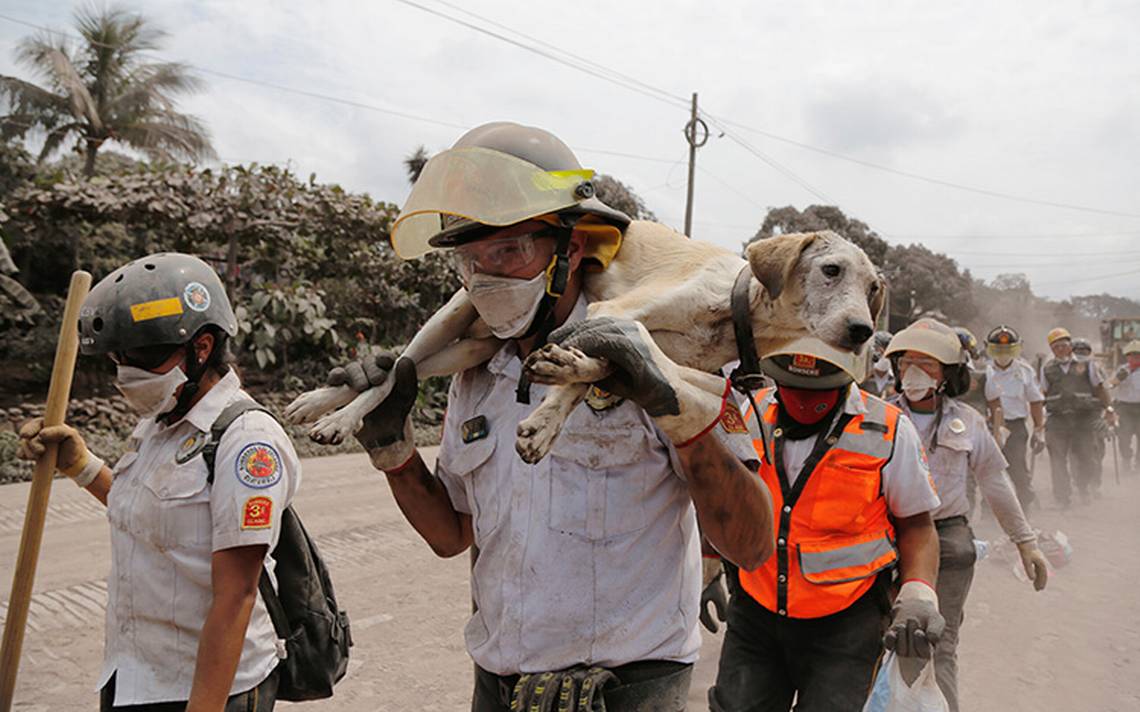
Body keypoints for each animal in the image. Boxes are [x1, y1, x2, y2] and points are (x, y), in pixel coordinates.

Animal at [282, 224, 880, 464]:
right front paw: (551, 398)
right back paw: (331, 414)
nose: (863, 331)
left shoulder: (632, 346)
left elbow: (592, 371)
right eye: (830, 270)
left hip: (469, 347)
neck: (737, 308)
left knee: (402, 371)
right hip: (452, 314)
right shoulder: (615, 312)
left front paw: (549, 410)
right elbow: (598, 354)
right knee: (394, 366)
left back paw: (320, 403)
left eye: (874, 287)